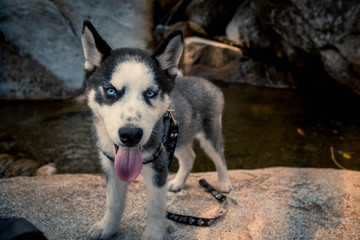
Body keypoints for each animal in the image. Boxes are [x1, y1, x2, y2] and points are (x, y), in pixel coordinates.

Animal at [82, 21, 232, 240]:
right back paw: (178, 182)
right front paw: (107, 226)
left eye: (150, 93)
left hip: (208, 132)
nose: (131, 135)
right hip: (177, 138)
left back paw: (224, 182)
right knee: (189, 157)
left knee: (219, 156)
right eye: (110, 91)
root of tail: (207, 82)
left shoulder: (158, 169)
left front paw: (153, 234)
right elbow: (113, 203)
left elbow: (155, 208)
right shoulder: (111, 167)